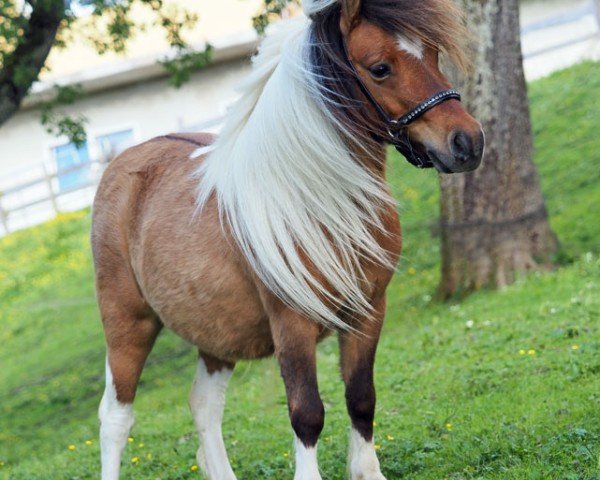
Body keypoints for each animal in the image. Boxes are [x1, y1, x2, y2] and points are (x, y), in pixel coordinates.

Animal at [91, 1, 486, 478]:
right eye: (380, 68)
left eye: (431, 53)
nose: (467, 143)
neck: (317, 201)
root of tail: (121, 165)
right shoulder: (291, 323)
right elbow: (307, 412)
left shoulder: (369, 311)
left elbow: (361, 398)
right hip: (127, 323)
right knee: (116, 418)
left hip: (216, 332)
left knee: (204, 405)